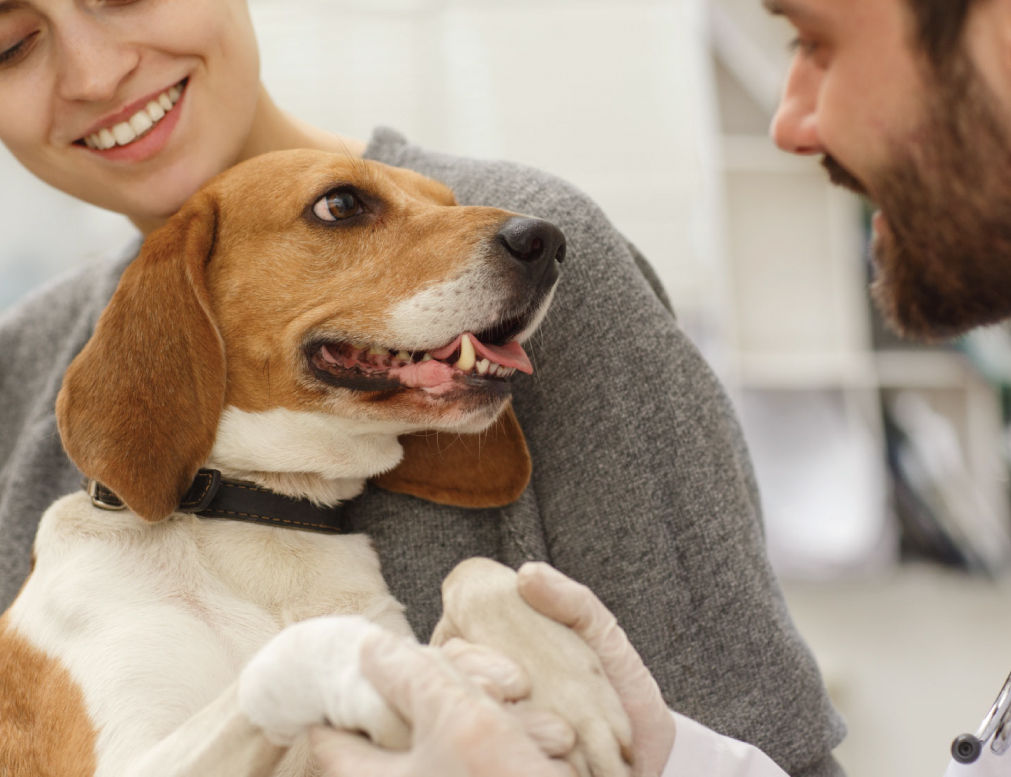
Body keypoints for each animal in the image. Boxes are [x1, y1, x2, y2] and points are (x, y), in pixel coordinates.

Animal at [0, 151, 630, 775]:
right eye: (341, 204)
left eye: (446, 201)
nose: (547, 241)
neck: (263, 510)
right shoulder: (132, 759)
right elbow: (312, 644)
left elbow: (475, 572)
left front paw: (574, 684)